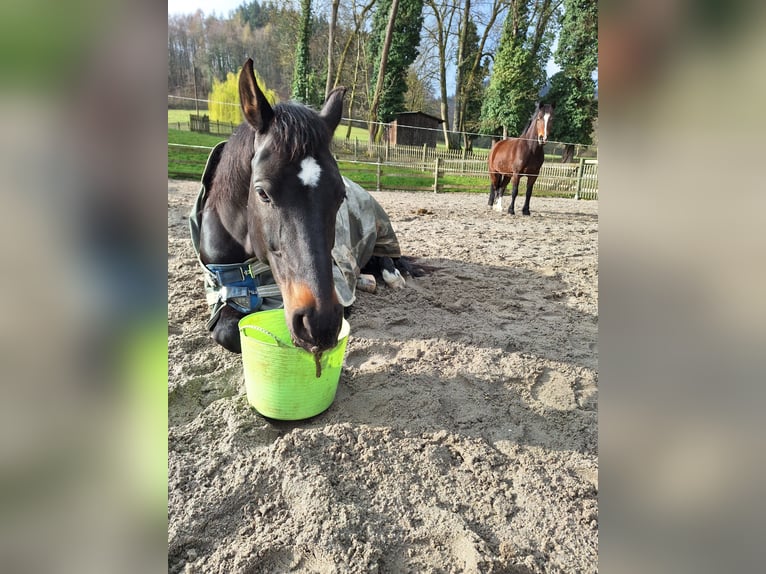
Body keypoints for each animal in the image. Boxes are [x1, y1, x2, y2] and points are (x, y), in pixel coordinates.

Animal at [190, 58, 425, 357]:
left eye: (340, 195)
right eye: (262, 193)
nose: (319, 323)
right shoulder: (220, 297)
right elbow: (227, 331)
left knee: (387, 259)